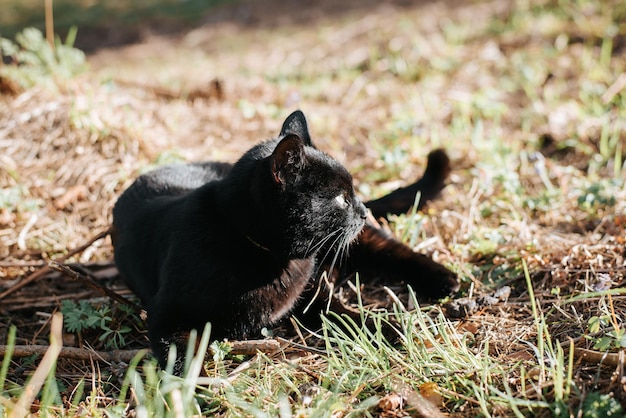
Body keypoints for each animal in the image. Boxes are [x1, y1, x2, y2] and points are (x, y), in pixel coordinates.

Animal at [111, 111, 454, 372]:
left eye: (352, 191)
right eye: (340, 197)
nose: (362, 209)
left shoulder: (312, 296)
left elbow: (347, 316)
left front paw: (391, 329)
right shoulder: (167, 316)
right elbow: (181, 360)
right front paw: (194, 393)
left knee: (390, 250)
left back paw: (447, 280)